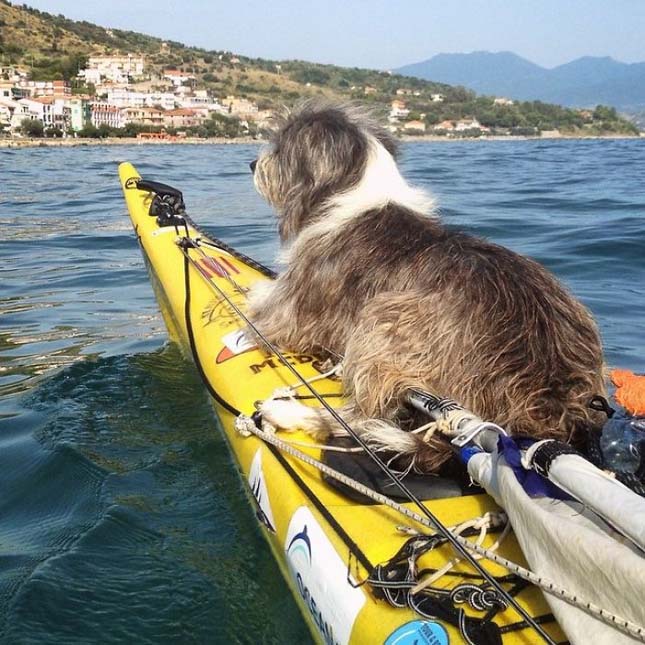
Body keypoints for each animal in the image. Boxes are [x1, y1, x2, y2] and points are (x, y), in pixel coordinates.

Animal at [247, 100, 604, 472]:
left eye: (280, 146)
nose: (252, 164)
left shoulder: (293, 307)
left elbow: (262, 308)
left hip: (384, 321)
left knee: (360, 417)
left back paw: (289, 412)